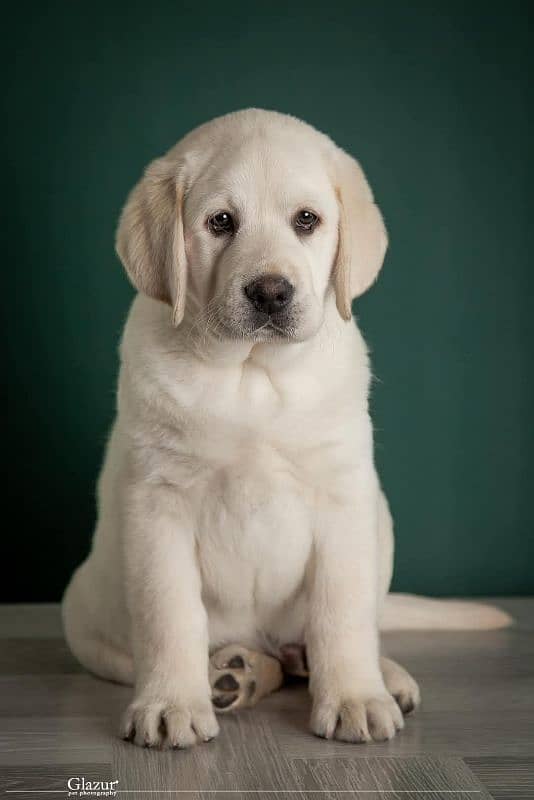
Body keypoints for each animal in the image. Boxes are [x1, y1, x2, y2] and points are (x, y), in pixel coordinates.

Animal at [63, 109, 516, 748]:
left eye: (307, 220)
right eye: (220, 222)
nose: (271, 292)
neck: (253, 373)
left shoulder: (342, 497)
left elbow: (342, 613)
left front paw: (354, 697)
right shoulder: (158, 501)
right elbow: (169, 613)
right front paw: (172, 704)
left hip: (380, 523)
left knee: (349, 629)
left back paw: (376, 675)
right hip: (82, 610)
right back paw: (234, 673)